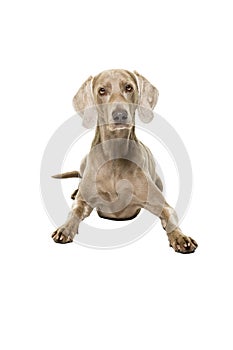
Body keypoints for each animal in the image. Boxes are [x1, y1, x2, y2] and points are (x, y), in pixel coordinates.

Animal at [51, 69, 198, 254]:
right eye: (102, 90)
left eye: (129, 87)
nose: (120, 114)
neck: (115, 155)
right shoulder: (85, 200)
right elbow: (75, 211)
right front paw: (65, 228)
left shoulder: (161, 204)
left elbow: (170, 218)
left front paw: (180, 237)